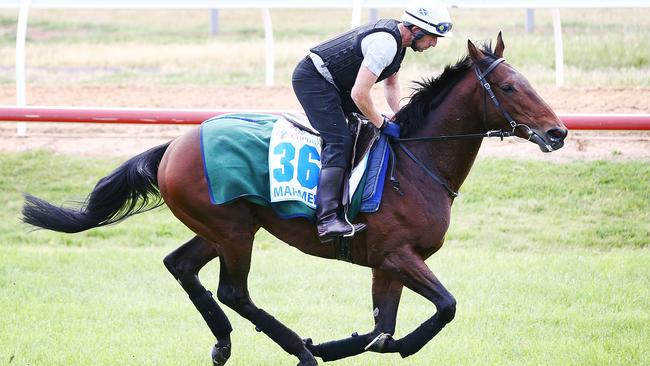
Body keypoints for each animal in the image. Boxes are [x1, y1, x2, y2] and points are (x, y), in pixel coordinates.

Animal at [22, 33, 564, 364]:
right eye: (509, 86)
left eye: (530, 81)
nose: (558, 132)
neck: (415, 166)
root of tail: (174, 144)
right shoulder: (397, 255)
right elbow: (442, 308)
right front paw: (333, 346)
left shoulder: (386, 264)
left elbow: (382, 330)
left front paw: (344, 342)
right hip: (233, 230)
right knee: (233, 291)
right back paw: (294, 349)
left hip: (222, 227)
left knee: (181, 265)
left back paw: (224, 343)